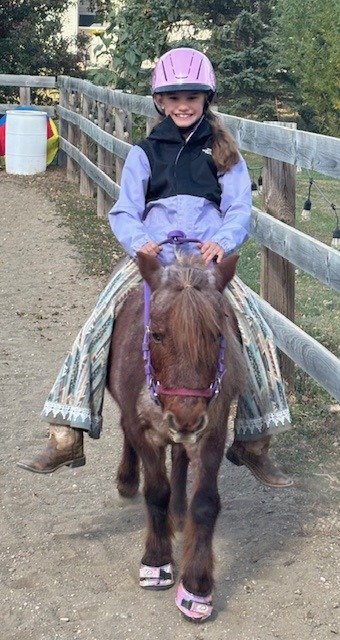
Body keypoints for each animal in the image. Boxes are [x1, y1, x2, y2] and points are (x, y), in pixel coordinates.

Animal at [107, 252, 246, 624]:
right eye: (156, 335)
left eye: (216, 335)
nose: (185, 416)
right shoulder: (143, 431)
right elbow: (156, 492)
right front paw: (156, 561)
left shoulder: (211, 432)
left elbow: (205, 504)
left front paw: (197, 587)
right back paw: (127, 478)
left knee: (180, 458)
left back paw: (179, 511)